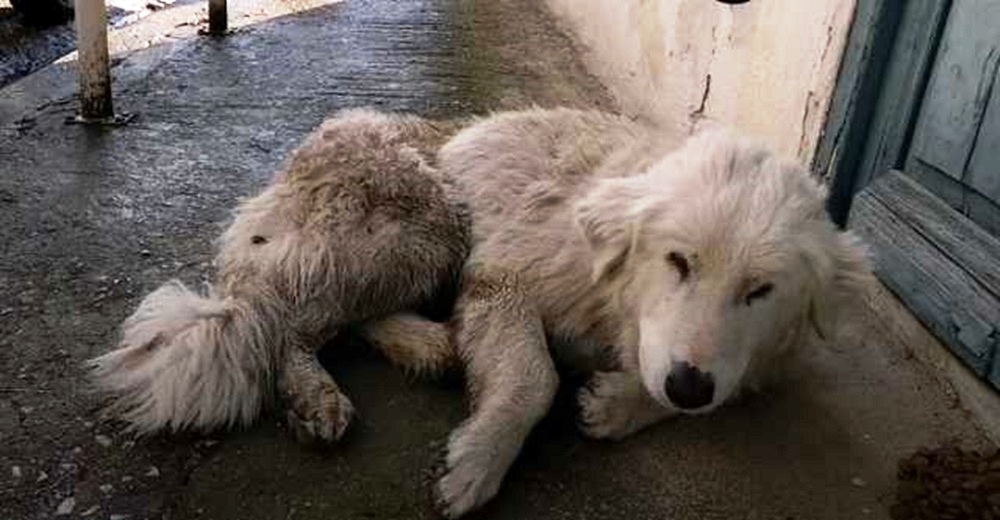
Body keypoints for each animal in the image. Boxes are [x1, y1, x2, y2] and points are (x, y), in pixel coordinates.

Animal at [88, 106, 876, 520]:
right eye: (678, 262)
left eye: (760, 291)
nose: (686, 385)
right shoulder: (503, 281)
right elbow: (533, 380)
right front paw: (478, 464)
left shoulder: (746, 359)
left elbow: (716, 386)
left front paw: (620, 404)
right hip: (427, 224)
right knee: (288, 319)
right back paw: (319, 394)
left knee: (351, 317)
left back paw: (430, 348)